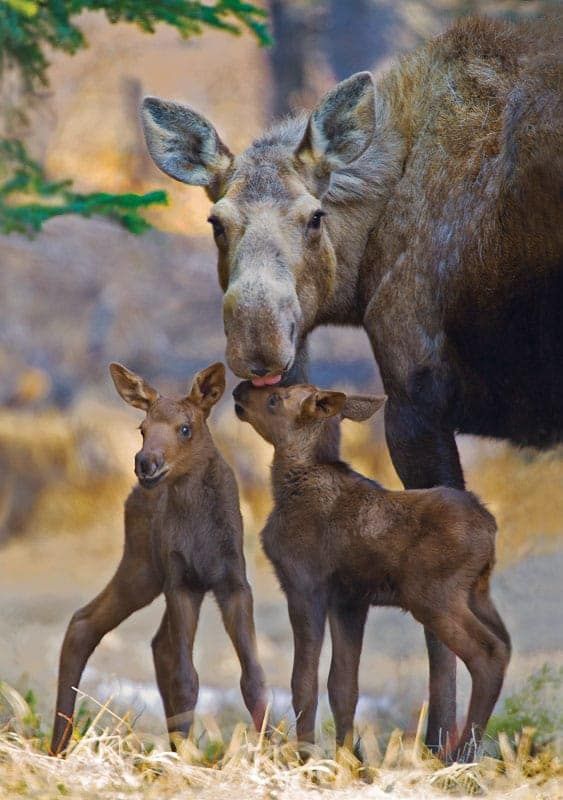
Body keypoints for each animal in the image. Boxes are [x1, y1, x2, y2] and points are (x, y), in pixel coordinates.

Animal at [50, 362, 266, 755]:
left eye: (185, 427)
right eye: (142, 428)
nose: (145, 462)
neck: (202, 536)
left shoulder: (233, 581)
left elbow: (253, 676)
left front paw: (279, 752)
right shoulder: (180, 581)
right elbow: (186, 678)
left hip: (152, 575)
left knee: (155, 645)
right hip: (143, 567)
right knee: (86, 622)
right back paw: (59, 746)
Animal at [232, 379, 511, 763]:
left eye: (274, 399)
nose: (239, 391)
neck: (289, 484)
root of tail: (490, 528)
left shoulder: (305, 586)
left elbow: (303, 682)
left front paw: (305, 758)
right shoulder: (349, 602)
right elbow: (343, 687)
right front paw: (349, 761)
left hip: (432, 596)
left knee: (489, 653)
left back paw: (459, 754)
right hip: (478, 593)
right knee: (506, 645)